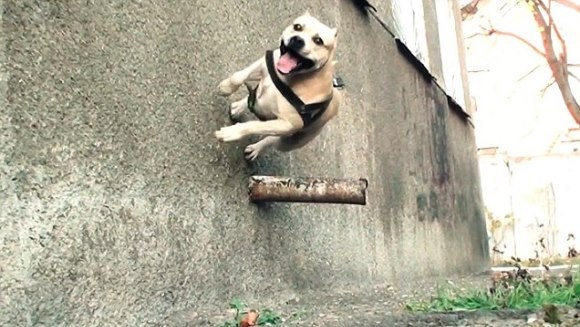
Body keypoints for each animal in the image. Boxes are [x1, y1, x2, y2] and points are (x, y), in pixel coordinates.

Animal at [214, 12, 340, 161]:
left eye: (318, 41)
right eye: (297, 27)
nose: (297, 39)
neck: (289, 78)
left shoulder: (287, 124)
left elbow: (256, 126)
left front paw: (232, 132)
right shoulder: (265, 63)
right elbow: (238, 76)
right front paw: (227, 87)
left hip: (290, 142)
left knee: (271, 140)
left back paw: (256, 149)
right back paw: (240, 106)